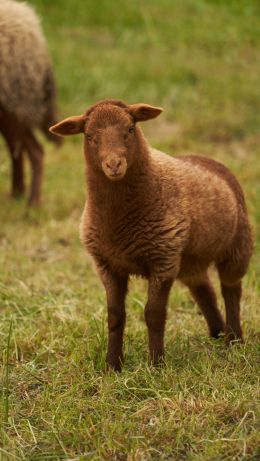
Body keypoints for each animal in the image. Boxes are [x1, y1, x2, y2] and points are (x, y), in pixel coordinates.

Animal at [49, 99, 253, 370]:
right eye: (89, 135)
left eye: (130, 129)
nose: (114, 165)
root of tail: (207, 159)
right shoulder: (107, 265)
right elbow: (115, 316)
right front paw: (112, 366)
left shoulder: (162, 261)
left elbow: (153, 315)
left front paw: (156, 365)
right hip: (189, 260)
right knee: (203, 289)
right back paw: (217, 334)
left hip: (238, 245)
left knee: (231, 290)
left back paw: (234, 340)